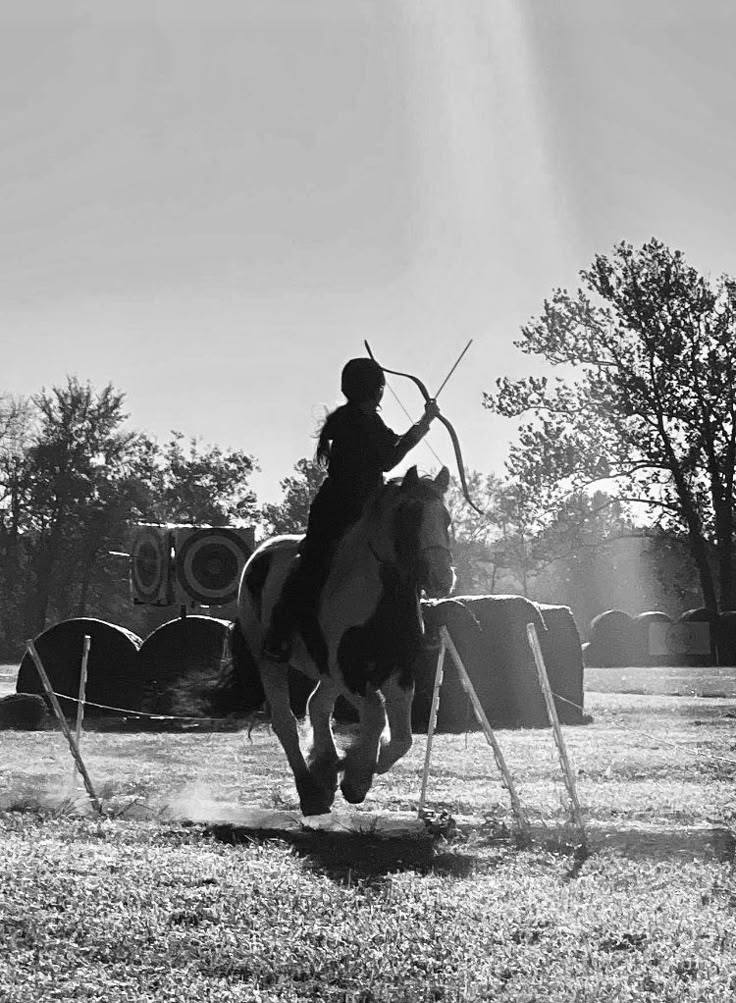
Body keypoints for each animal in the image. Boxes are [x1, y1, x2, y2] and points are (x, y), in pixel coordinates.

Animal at [233, 465, 459, 818]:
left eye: (446, 518)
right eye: (410, 515)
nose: (442, 578)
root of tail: (262, 551)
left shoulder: (399, 673)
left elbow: (403, 738)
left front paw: (355, 767)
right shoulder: (350, 673)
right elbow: (377, 714)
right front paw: (356, 777)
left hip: (326, 672)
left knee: (317, 705)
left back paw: (325, 766)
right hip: (269, 660)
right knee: (285, 721)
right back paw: (311, 789)